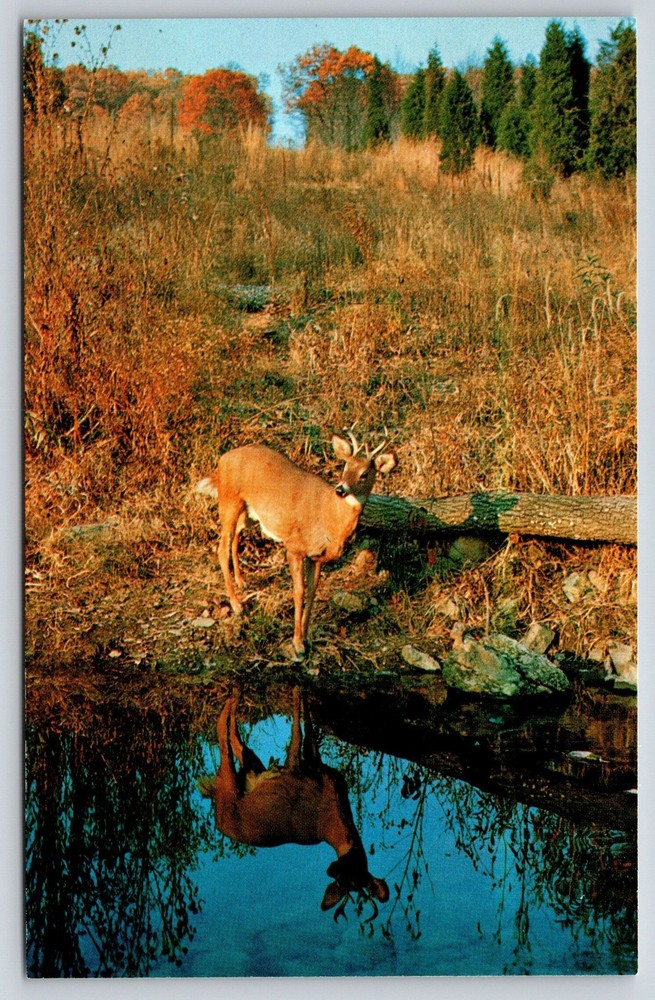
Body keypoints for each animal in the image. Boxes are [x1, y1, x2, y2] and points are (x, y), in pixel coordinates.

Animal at [196, 432, 397, 657]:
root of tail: (223, 459)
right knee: (221, 547)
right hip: (229, 501)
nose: (341, 489)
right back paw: (236, 604)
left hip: (250, 512)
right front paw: (297, 643)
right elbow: (299, 591)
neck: (329, 516)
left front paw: (307, 638)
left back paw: (242, 582)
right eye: (345, 466)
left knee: (235, 537)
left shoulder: (317, 557)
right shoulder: (294, 547)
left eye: (364, 473)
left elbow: (312, 591)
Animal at [198, 688, 389, 917]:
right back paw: (234, 695)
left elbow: (308, 729)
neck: (334, 812)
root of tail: (219, 821)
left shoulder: (314, 764)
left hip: (250, 772)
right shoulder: (297, 771)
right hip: (229, 787)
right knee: (221, 733)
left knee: (236, 741)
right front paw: (299, 688)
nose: (332, 870)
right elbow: (298, 730)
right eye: (345, 876)